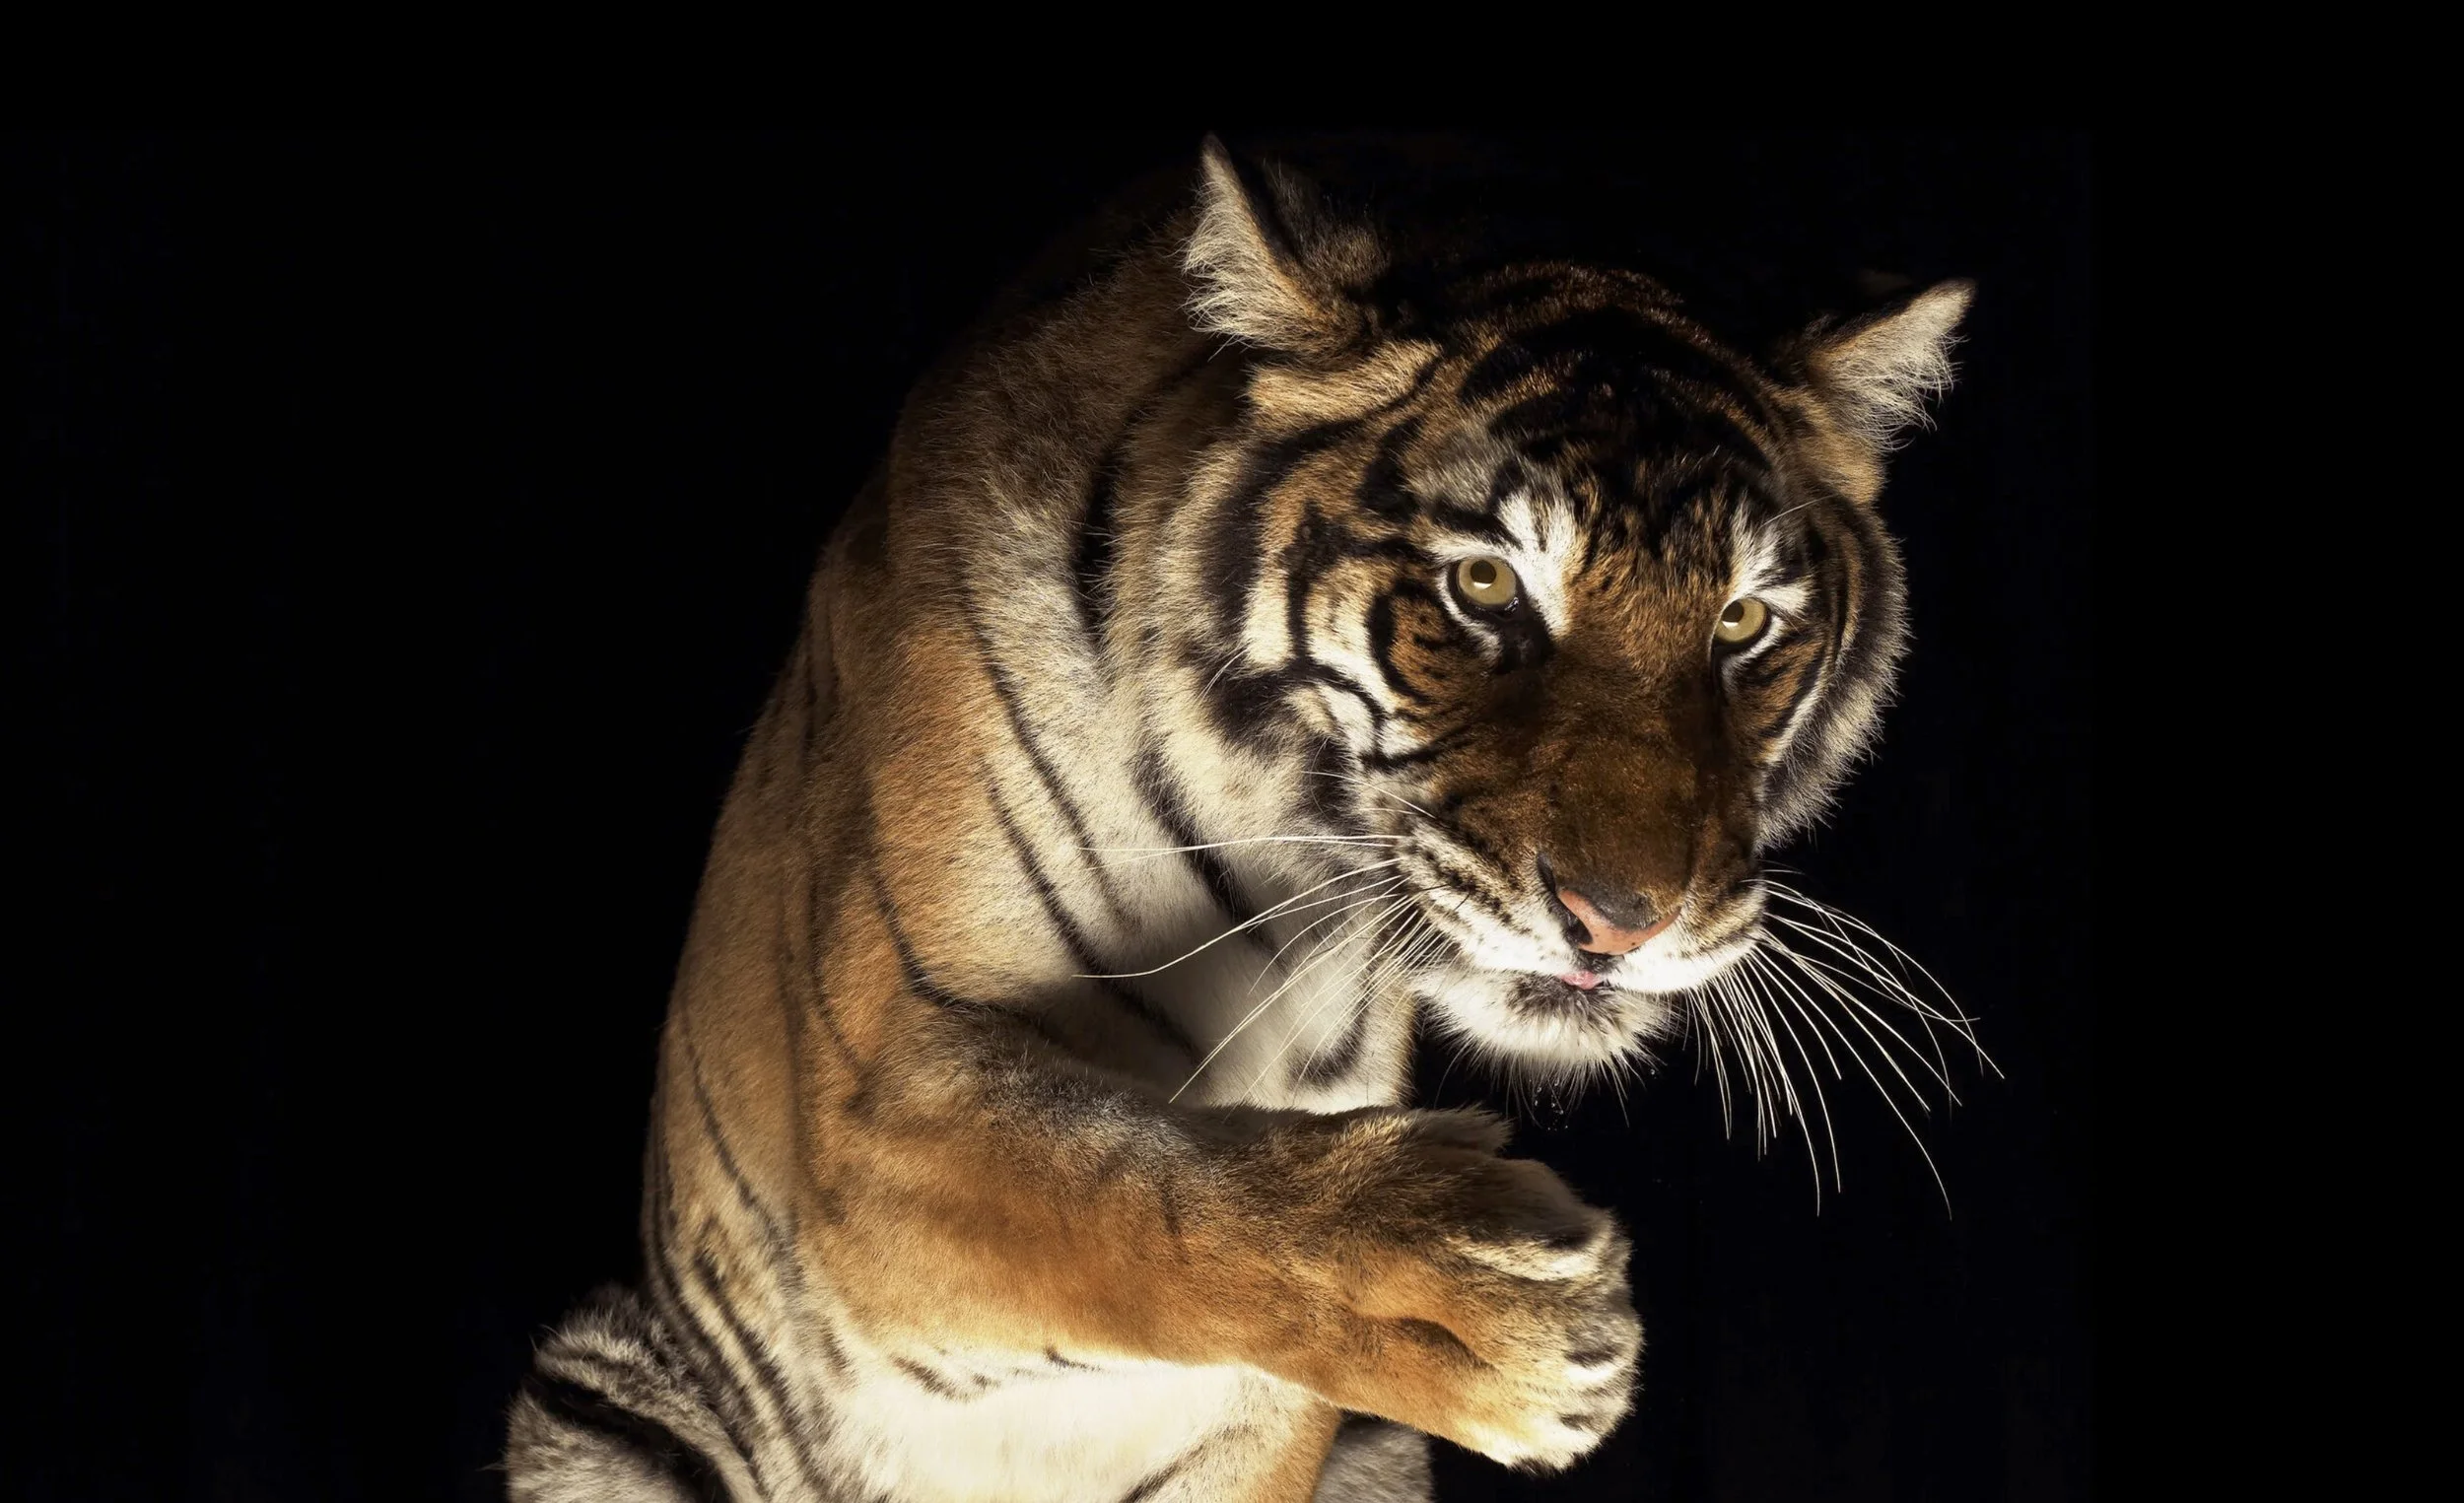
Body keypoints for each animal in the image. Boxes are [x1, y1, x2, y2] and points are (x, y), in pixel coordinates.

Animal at [502, 137, 1971, 1503]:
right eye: (1486, 587)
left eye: (1744, 623)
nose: (1620, 921)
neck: (1277, 869)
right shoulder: (869, 1089)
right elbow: (1128, 1184)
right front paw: (1502, 1309)